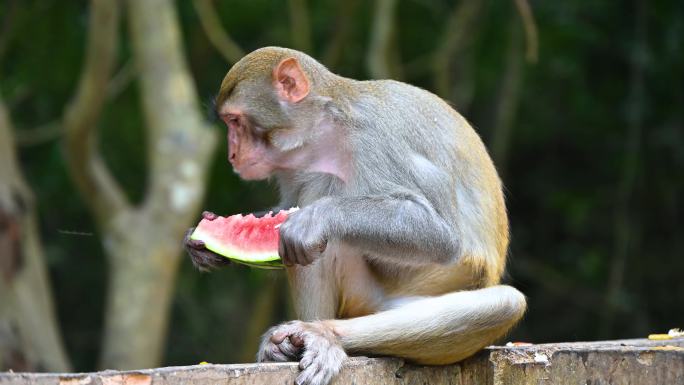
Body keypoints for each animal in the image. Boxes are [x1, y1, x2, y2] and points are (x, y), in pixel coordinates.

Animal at [184, 47, 528, 384]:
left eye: (236, 121)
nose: (232, 153)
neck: (326, 133)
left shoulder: (377, 140)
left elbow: (442, 235)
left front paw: (315, 218)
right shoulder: (293, 165)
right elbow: (287, 206)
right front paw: (201, 243)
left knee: (506, 303)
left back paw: (325, 333)